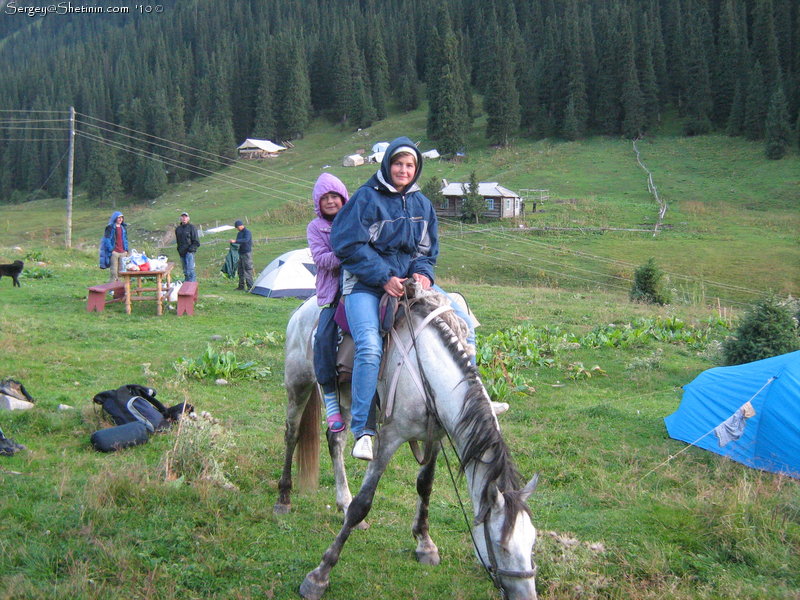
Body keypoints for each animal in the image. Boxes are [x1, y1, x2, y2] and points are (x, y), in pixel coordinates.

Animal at [274, 284, 536, 596]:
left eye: (532, 542)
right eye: (502, 546)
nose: (527, 596)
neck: (429, 372)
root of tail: (303, 308)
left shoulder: (435, 436)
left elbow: (425, 486)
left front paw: (425, 543)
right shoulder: (389, 437)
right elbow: (364, 503)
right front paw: (319, 575)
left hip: (347, 399)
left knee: (335, 441)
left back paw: (342, 501)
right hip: (298, 383)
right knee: (292, 434)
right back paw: (284, 498)